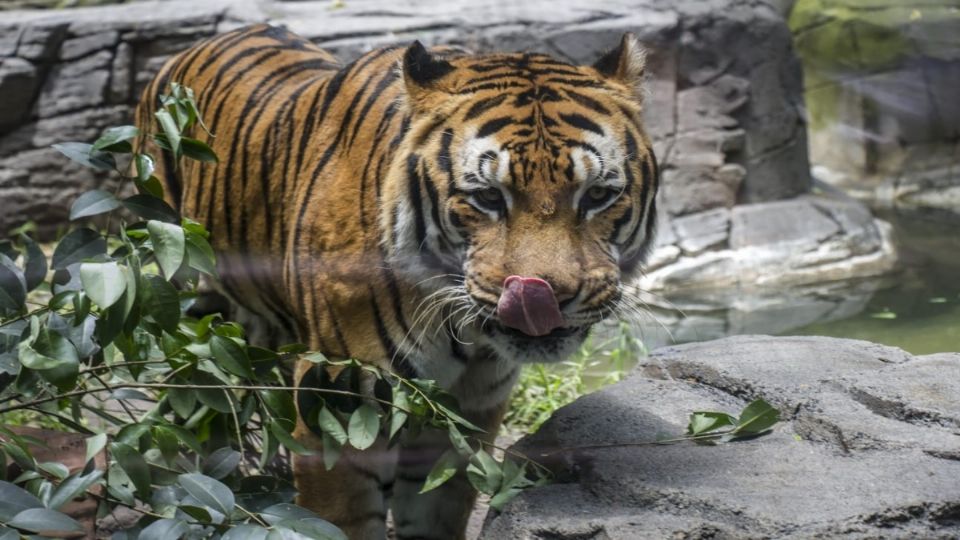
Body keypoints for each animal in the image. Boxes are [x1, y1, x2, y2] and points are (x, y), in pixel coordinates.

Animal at [135, 24, 660, 540]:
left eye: (598, 195)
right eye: (488, 197)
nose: (545, 297)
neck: (463, 332)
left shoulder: (465, 411)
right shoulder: (338, 404)